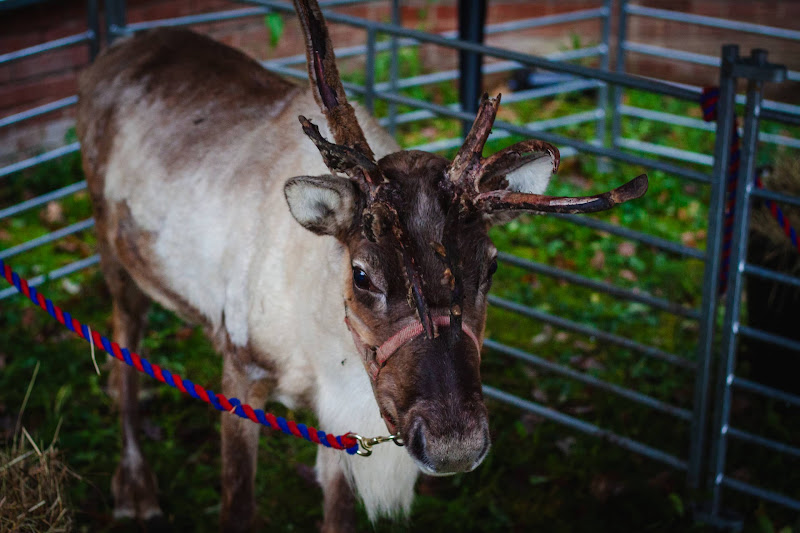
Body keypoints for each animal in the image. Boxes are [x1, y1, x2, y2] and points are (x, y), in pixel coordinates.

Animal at [75, 0, 648, 530]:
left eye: (490, 268)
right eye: (362, 274)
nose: (454, 445)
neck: (326, 349)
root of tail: (116, 48)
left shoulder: (345, 421)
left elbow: (339, 514)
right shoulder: (243, 369)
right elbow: (238, 506)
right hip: (111, 247)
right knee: (122, 348)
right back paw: (135, 487)